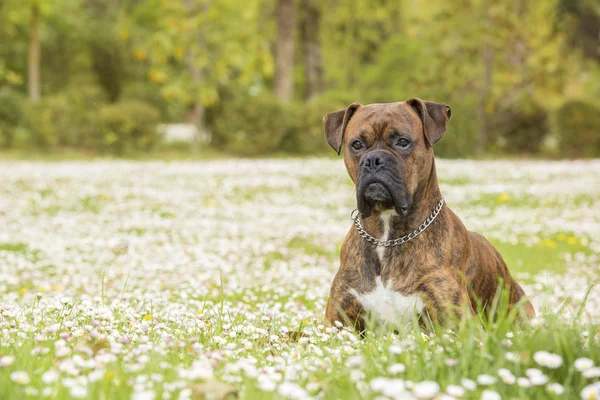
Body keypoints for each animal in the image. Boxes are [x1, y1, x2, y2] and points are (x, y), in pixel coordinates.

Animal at [324, 98, 536, 330]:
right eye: (356, 145)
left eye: (403, 142)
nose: (374, 160)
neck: (387, 236)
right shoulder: (335, 324)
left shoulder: (457, 324)